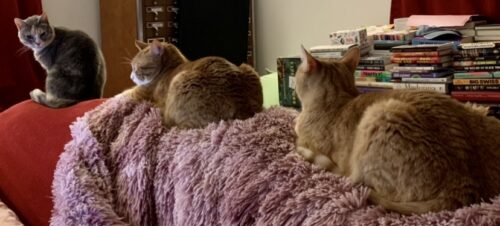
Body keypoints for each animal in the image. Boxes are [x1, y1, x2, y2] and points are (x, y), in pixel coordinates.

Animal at [123, 39, 264, 128]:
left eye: (137, 68)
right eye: (131, 68)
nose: (130, 76)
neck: (171, 67)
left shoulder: (139, 93)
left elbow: (122, 95)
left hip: (179, 80)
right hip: (248, 68)